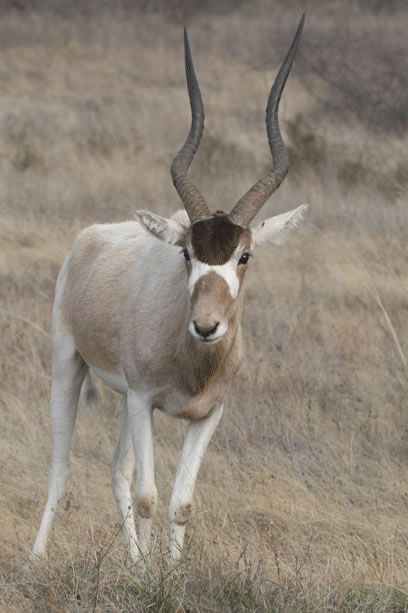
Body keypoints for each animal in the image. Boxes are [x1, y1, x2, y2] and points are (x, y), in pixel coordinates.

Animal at [33, 16, 308, 564]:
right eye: (186, 253)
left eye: (244, 256)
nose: (205, 325)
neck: (194, 364)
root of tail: (89, 237)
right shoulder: (145, 402)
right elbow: (148, 496)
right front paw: (153, 576)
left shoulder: (207, 416)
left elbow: (181, 503)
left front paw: (166, 571)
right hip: (69, 367)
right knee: (61, 468)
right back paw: (38, 557)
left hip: (121, 398)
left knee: (116, 468)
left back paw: (136, 562)